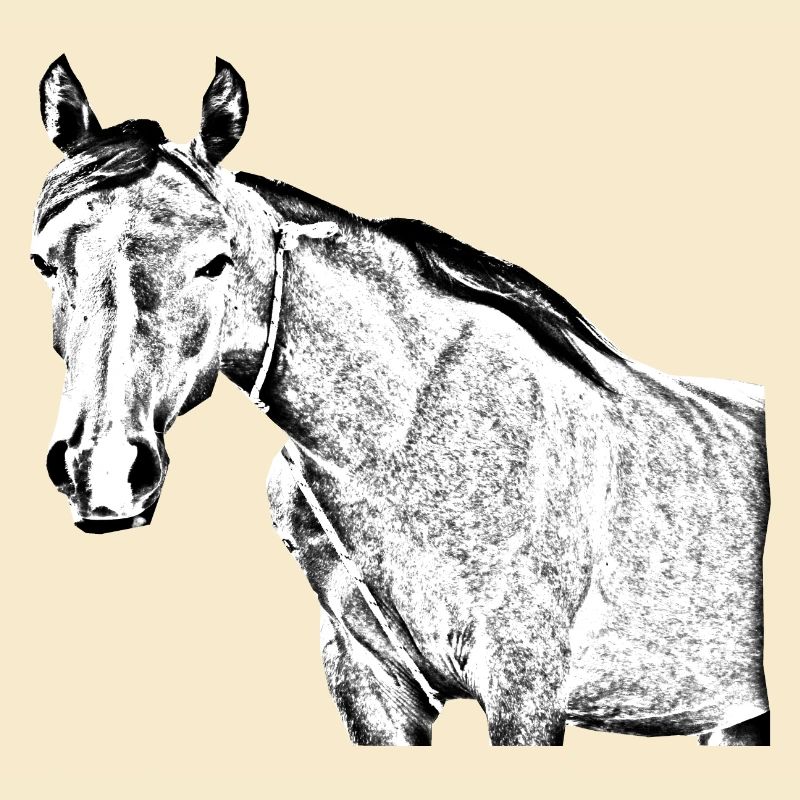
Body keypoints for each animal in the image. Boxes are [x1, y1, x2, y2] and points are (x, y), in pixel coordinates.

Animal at [31, 56, 770, 747]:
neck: (405, 443)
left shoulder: (525, 689)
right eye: (44, 263)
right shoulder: (370, 685)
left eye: (216, 261)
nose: (102, 472)